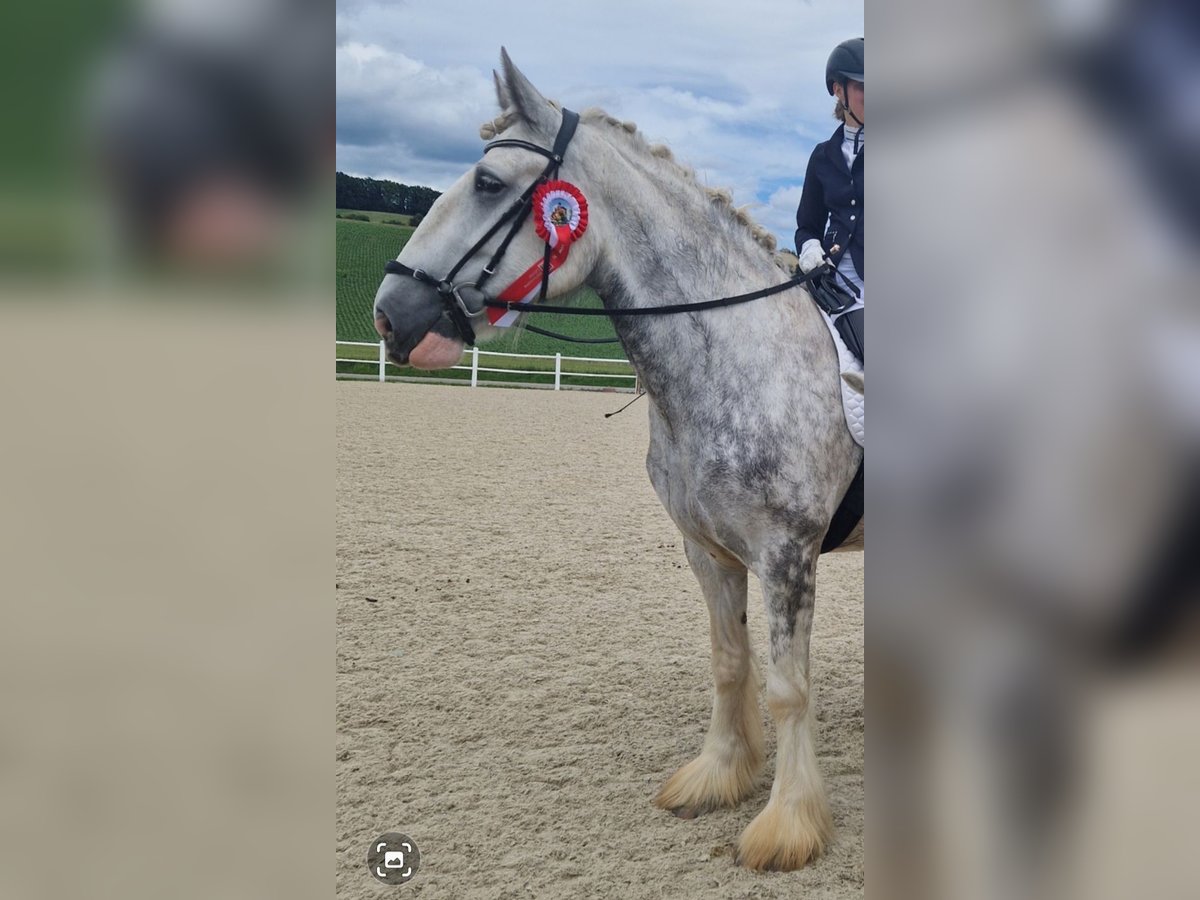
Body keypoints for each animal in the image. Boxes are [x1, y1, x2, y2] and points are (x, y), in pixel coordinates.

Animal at [374, 51, 864, 873]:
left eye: (489, 184)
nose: (388, 314)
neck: (736, 354)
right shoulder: (708, 551)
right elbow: (730, 663)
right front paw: (717, 776)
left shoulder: (786, 553)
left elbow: (788, 687)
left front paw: (787, 824)